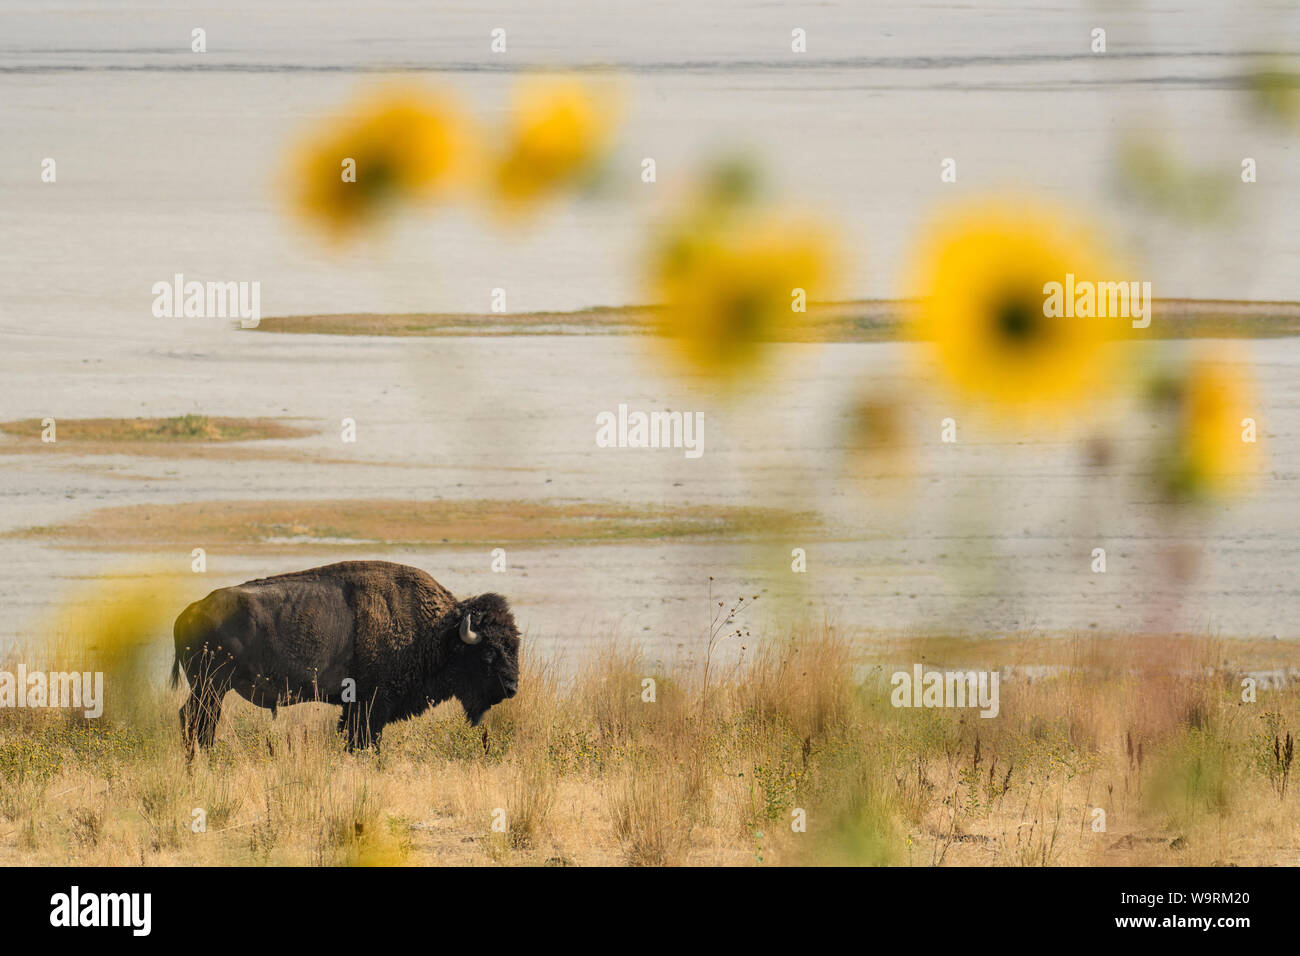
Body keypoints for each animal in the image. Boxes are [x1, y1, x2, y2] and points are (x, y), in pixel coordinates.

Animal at [170, 560, 520, 751]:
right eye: (489, 651)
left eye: (514, 644)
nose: (512, 687)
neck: (440, 631)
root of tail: (188, 613)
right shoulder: (370, 705)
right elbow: (363, 739)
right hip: (211, 686)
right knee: (197, 721)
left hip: (211, 688)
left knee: (197, 721)